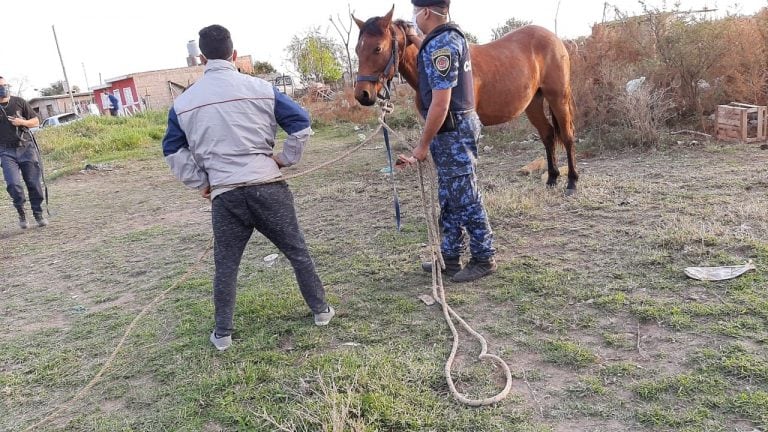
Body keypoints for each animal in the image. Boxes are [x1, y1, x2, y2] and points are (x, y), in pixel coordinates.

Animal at [352, 7, 576, 193]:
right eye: (357, 49)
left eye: (378, 48)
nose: (362, 94)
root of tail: (554, 38)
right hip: (533, 104)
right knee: (547, 134)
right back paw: (552, 179)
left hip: (558, 98)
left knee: (566, 136)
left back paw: (572, 182)